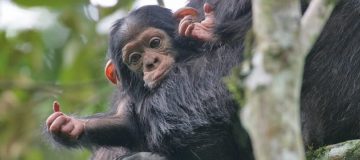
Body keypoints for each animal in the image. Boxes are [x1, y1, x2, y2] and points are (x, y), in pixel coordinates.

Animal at [45, 4, 253, 159]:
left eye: (155, 43)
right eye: (135, 58)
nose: (151, 63)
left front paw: (205, 28)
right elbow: (126, 125)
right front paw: (69, 124)